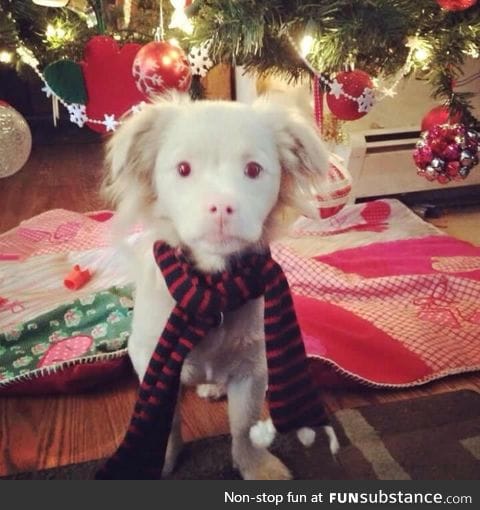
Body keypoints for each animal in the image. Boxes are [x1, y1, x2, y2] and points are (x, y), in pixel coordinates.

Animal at [104, 93, 330, 480]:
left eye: (253, 170)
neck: (212, 290)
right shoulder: (151, 358)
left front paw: (255, 466)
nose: (222, 207)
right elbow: (165, 420)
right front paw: (161, 460)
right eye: (183, 169)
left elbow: (243, 426)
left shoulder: (254, 369)